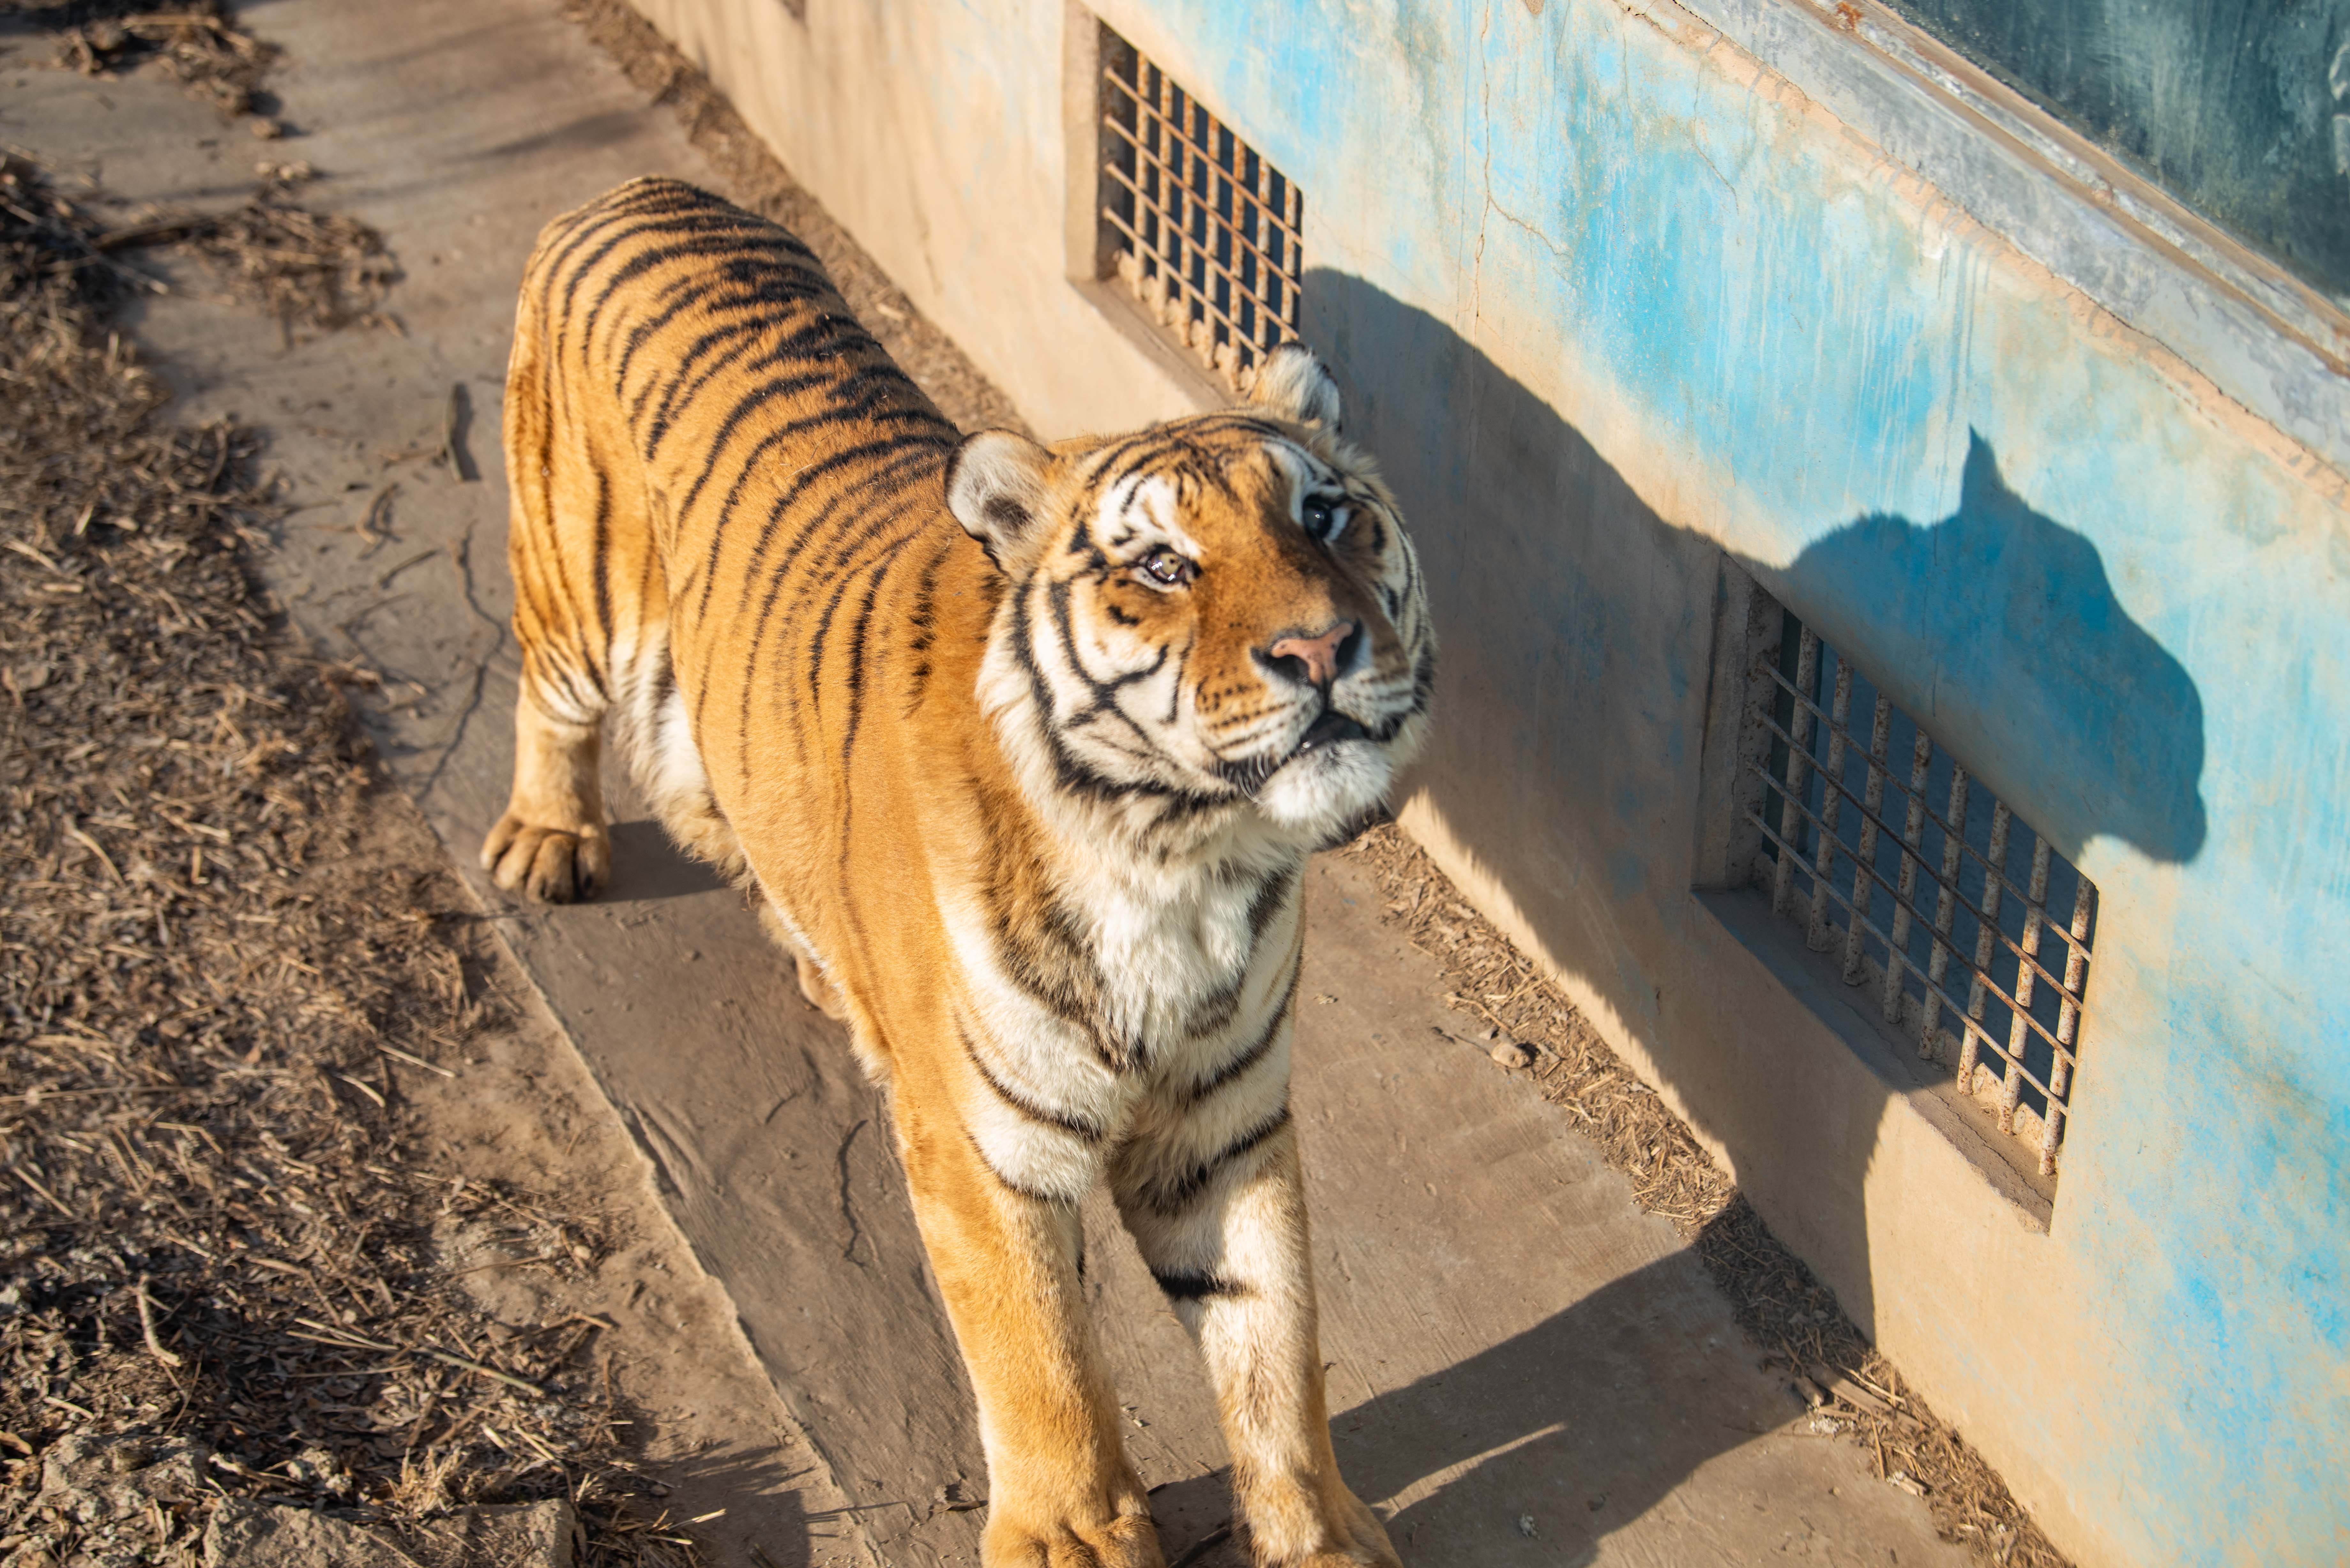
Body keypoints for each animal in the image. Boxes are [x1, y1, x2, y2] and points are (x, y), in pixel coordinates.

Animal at [479, 177, 1429, 1568]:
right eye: (1162, 566)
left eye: (1322, 514)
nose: (1320, 648)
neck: (1181, 855)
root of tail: (636, 188)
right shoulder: (983, 1149)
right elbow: (1040, 1361)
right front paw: (1071, 1539)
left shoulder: (1224, 1122)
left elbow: (1274, 1339)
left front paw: (1317, 1534)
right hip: (575, 592)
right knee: (546, 693)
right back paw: (545, 841)